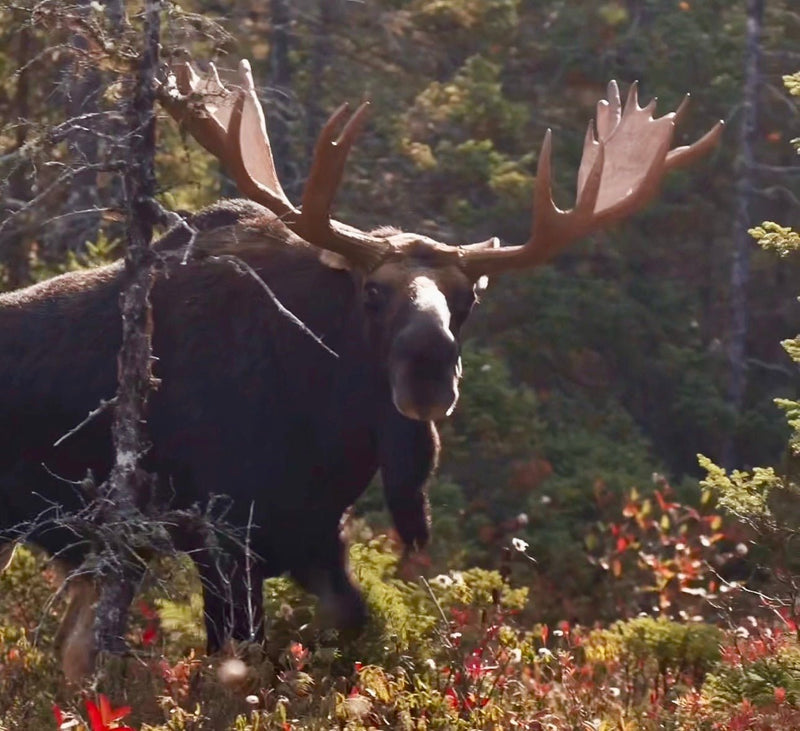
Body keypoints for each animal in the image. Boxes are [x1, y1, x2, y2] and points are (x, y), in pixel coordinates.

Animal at [0, 58, 722, 679]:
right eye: (373, 291)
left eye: (469, 299)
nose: (430, 371)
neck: (328, 428)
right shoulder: (222, 531)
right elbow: (236, 659)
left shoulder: (316, 531)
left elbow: (351, 623)